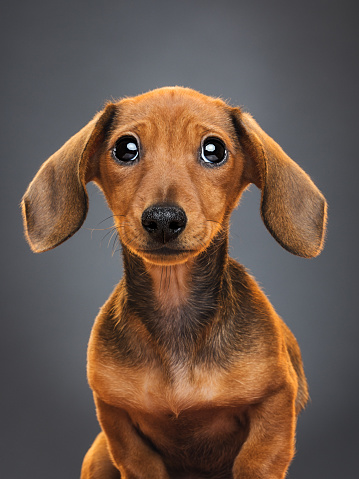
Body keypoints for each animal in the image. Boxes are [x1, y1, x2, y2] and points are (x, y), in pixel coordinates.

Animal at [21, 87, 328, 479]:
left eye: (214, 150)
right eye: (125, 148)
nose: (164, 219)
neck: (174, 305)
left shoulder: (275, 402)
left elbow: (256, 460)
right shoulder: (116, 419)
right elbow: (139, 460)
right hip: (99, 455)